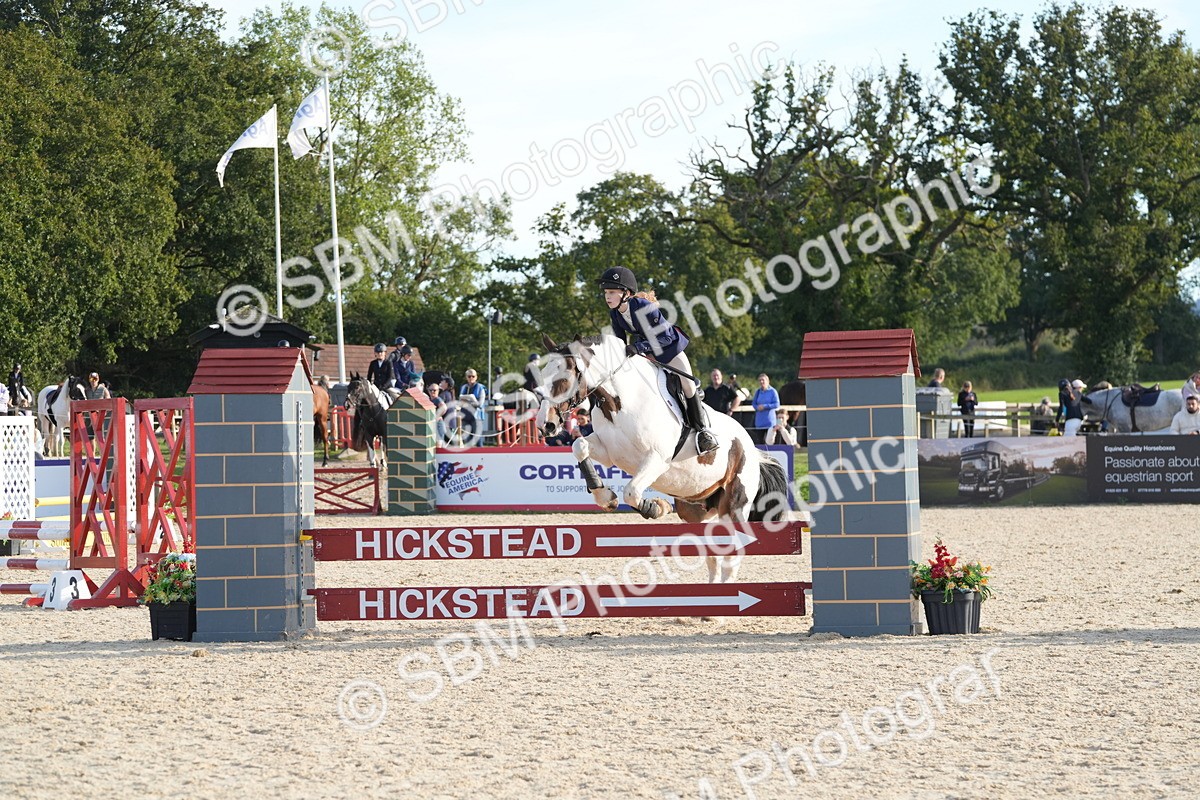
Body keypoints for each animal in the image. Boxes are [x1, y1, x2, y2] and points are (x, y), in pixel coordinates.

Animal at [534, 334, 791, 584]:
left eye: (562, 380)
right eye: (541, 380)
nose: (545, 425)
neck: (619, 401)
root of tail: (753, 450)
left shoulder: (657, 458)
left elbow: (632, 492)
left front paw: (657, 507)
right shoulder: (609, 451)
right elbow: (579, 446)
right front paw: (605, 496)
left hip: (735, 505)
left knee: (732, 555)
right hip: (697, 508)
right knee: (713, 552)